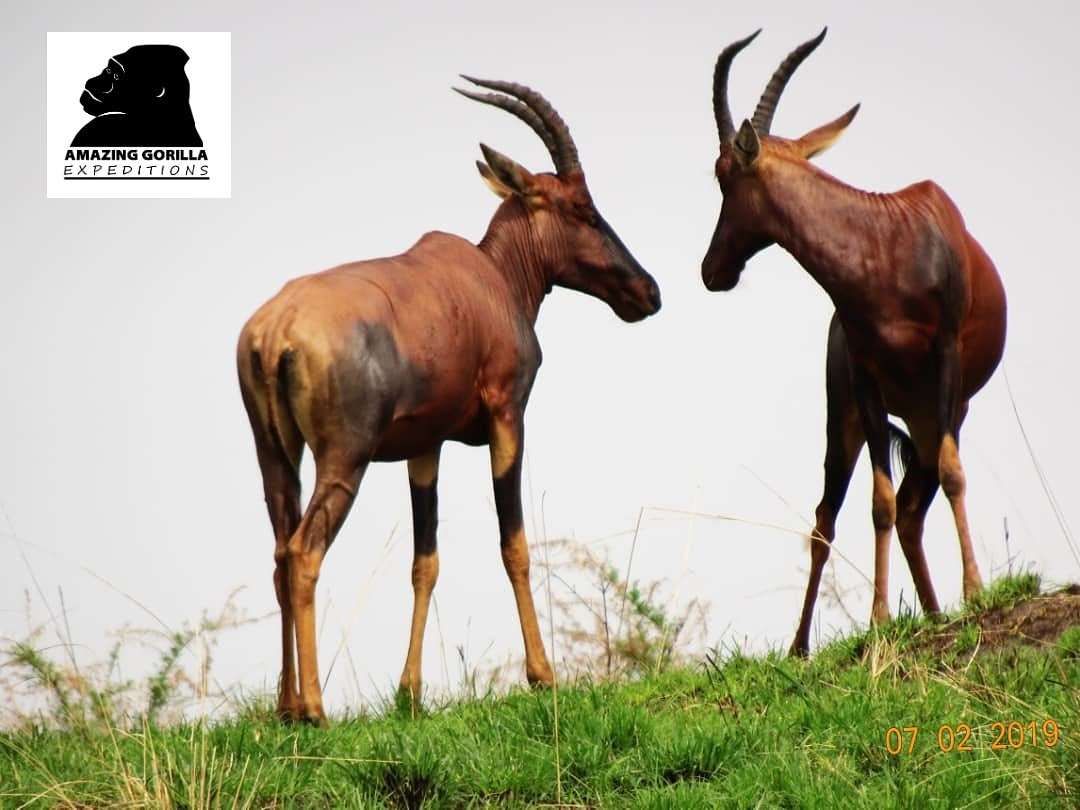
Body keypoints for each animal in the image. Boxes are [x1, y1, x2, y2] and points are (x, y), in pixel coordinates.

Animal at [237, 77, 661, 725]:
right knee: (305, 553)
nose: (647, 292)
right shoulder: (508, 418)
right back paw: (314, 709)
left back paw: (286, 708)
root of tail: (276, 329)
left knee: (281, 552)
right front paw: (543, 677)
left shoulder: (424, 447)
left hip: (276, 458)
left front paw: (409, 695)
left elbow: (425, 561)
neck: (489, 277)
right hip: (344, 460)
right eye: (581, 207)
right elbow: (514, 544)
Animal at [701, 30, 1007, 656]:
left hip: (940, 411)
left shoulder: (945, 361)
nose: (711, 269)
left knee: (921, 498)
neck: (886, 240)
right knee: (834, 516)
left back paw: (937, 612)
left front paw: (975, 592)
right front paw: (878, 618)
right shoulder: (866, 383)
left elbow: (953, 475)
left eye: (722, 173)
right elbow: (878, 503)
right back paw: (802, 646)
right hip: (849, 418)